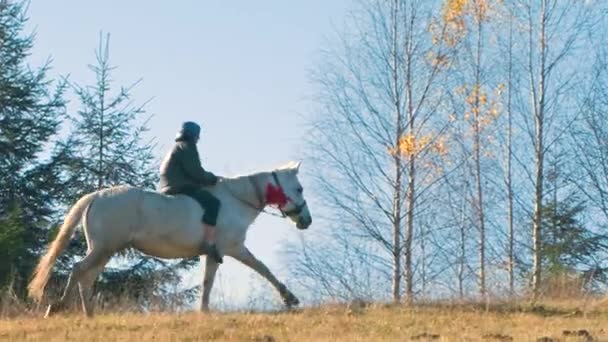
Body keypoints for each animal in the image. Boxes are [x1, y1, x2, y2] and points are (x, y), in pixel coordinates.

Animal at [27, 162, 314, 316]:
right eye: (299, 188)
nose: (306, 221)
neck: (235, 201)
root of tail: (96, 196)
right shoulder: (232, 248)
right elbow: (260, 269)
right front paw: (289, 298)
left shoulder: (218, 252)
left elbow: (212, 280)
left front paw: (203, 310)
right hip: (103, 248)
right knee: (79, 271)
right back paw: (58, 307)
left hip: (104, 250)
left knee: (87, 277)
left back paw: (89, 315)